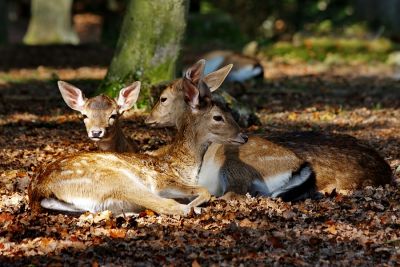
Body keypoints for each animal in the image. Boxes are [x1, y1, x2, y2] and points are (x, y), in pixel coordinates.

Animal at [28, 72, 247, 217]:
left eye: (229, 111)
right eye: (218, 117)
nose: (244, 136)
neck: (181, 166)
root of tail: (40, 190)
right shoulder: (162, 180)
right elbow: (203, 190)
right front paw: (197, 202)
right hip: (115, 180)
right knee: (166, 205)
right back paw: (193, 209)